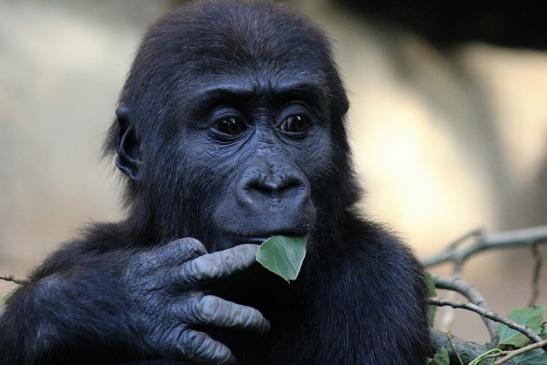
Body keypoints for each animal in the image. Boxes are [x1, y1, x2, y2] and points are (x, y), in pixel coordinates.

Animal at [0, 0, 432, 364]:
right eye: (229, 125)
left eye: (296, 122)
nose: (274, 183)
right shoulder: (78, 253)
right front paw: (112, 300)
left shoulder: (382, 277)